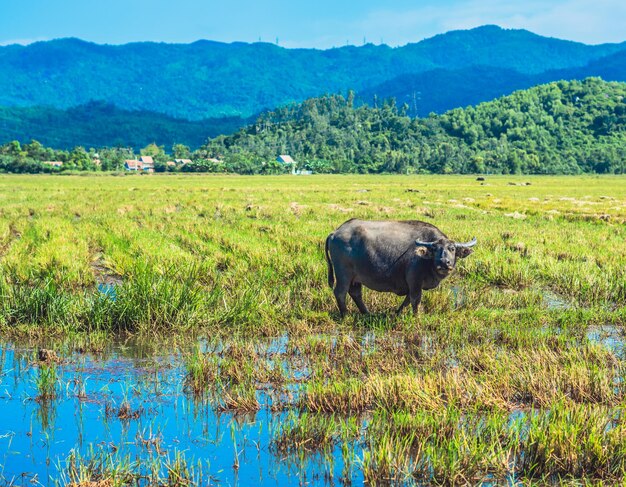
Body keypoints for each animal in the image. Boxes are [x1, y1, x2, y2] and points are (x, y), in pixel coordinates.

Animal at [324, 220, 476, 318]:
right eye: (435, 249)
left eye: (452, 249)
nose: (444, 262)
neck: (427, 260)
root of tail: (335, 232)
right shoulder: (415, 281)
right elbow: (415, 300)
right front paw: (416, 317)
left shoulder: (412, 284)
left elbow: (407, 300)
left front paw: (397, 313)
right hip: (343, 275)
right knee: (340, 292)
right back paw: (345, 315)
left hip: (356, 278)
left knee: (355, 293)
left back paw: (367, 313)